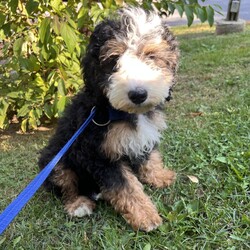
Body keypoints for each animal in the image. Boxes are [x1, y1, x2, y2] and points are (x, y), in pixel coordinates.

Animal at [38, 6, 179, 232]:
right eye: (114, 59)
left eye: (151, 56)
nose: (138, 94)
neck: (123, 112)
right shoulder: (100, 154)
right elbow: (125, 186)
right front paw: (145, 216)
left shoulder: (142, 138)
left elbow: (150, 159)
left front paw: (159, 176)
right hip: (56, 159)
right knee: (65, 184)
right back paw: (78, 204)